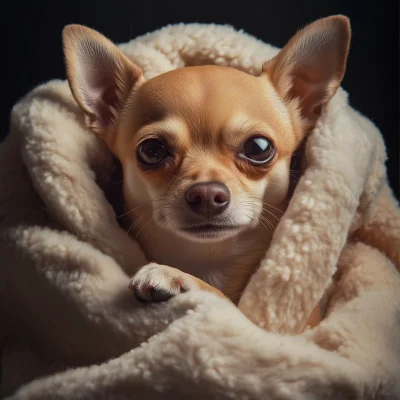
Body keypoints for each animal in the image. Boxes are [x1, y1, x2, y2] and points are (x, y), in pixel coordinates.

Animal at [61, 16, 350, 328]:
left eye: (258, 147)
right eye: (152, 150)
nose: (207, 193)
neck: (209, 261)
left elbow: (229, 307)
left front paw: (176, 276)